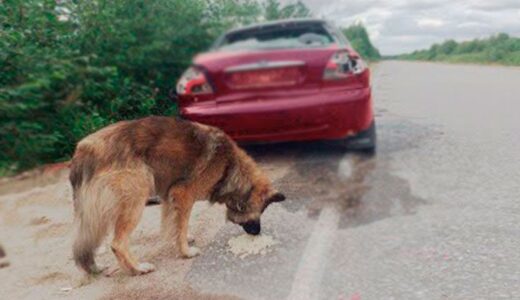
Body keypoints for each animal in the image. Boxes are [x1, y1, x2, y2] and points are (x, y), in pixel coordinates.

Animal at [70, 116, 284, 276]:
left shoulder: (169, 196)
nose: (257, 233)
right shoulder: (183, 194)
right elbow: (181, 224)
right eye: (260, 212)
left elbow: (174, 223)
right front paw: (185, 252)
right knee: (117, 243)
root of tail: (84, 148)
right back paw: (137, 268)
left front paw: (182, 238)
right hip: (137, 195)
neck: (230, 167)